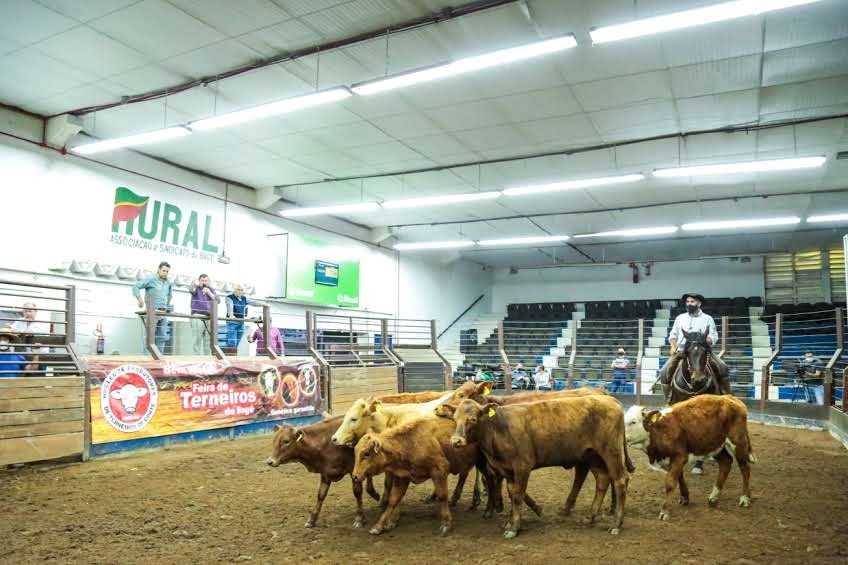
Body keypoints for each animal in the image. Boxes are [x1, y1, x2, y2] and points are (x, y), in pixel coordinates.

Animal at [450, 394, 628, 540]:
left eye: (473, 419)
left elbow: (518, 496)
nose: (455, 441)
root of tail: (612, 400)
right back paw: (590, 517)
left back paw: (616, 524)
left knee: (620, 480)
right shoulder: (507, 470)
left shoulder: (523, 466)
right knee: (602, 480)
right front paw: (510, 523)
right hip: (593, 456)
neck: (500, 428)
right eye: (454, 419)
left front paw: (514, 528)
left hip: (611, 452)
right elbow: (512, 493)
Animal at [624, 392, 756, 520]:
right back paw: (714, 497)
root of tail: (731, 398)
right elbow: (679, 477)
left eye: (633, 422)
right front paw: (685, 497)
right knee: (726, 463)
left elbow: (670, 482)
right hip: (716, 445)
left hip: (738, 443)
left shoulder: (680, 456)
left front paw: (664, 511)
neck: (660, 430)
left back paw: (745, 498)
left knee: (745, 468)